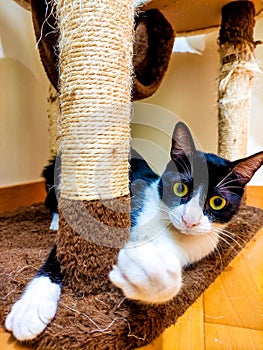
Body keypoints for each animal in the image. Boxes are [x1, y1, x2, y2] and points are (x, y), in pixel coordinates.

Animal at [4, 122, 263, 340]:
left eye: (217, 202)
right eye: (180, 188)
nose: (189, 221)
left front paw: (139, 272)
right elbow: (63, 253)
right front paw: (31, 309)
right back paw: (57, 221)